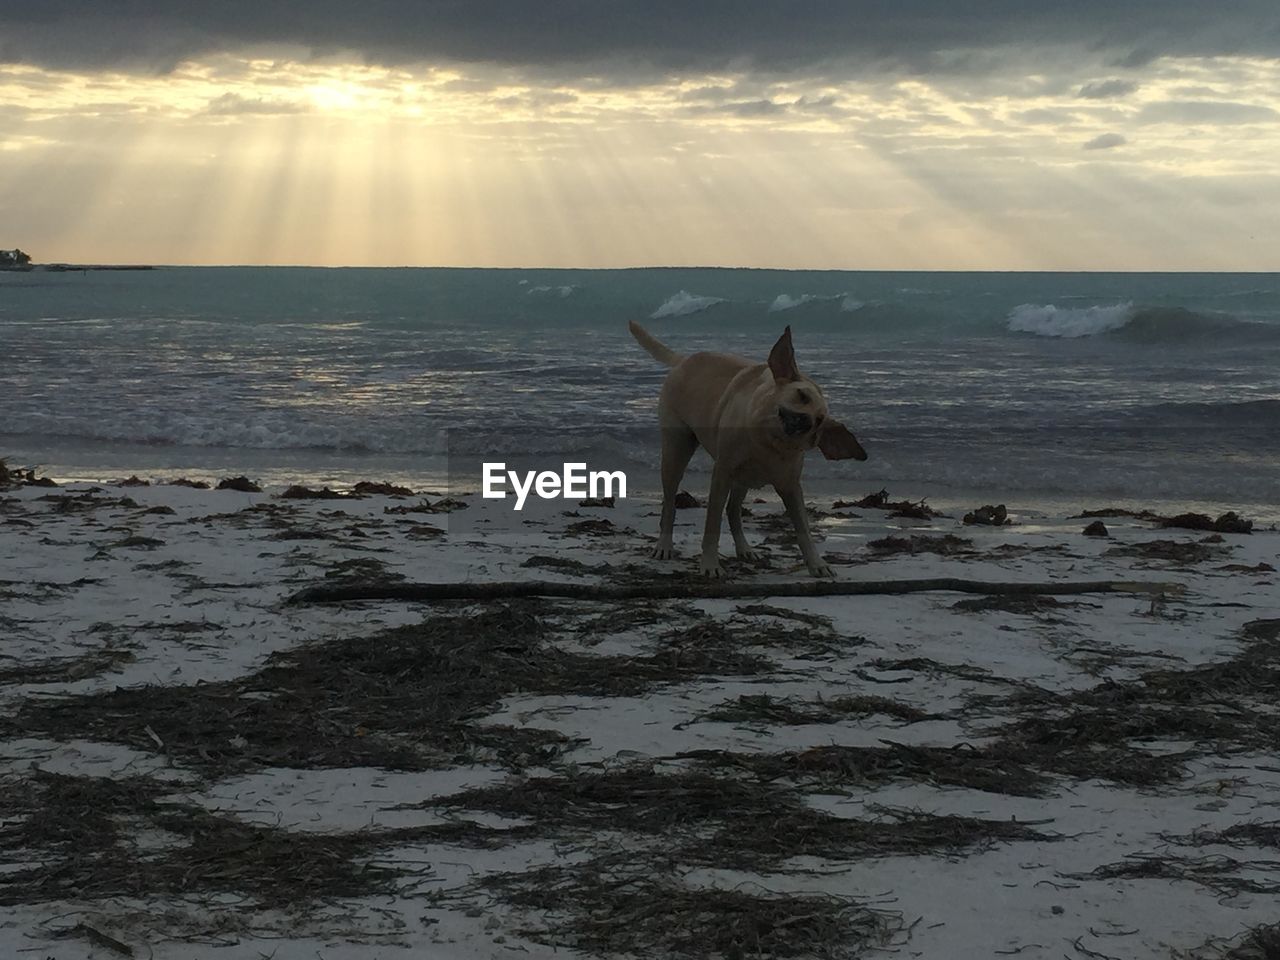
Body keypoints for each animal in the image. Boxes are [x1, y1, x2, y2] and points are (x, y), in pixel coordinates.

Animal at [627, 321, 865, 578]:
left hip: (743, 478)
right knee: (670, 504)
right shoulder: (722, 473)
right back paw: (664, 545)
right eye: (802, 395)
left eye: (820, 421)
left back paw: (744, 549)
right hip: (676, 451)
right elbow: (712, 523)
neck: (766, 443)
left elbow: (803, 529)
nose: (806, 421)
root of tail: (683, 360)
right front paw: (710, 564)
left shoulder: (790, 486)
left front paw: (816, 563)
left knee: (733, 510)